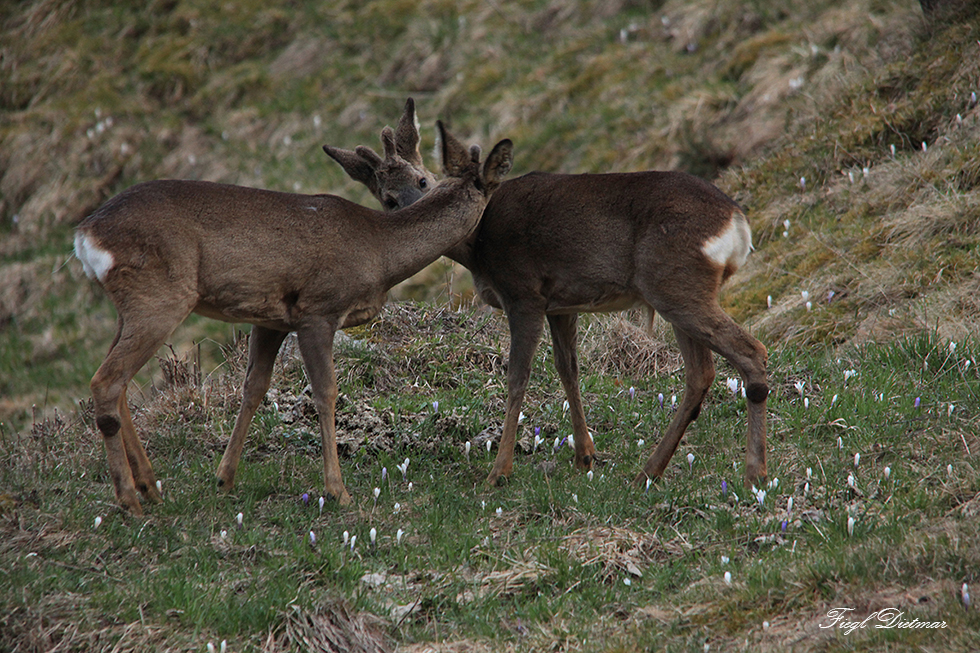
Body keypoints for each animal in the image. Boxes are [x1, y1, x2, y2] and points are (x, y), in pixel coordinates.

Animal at [76, 119, 512, 512]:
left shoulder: (270, 319)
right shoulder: (317, 310)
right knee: (106, 381)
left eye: (424, 180)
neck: (378, 251)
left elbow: (254, 387)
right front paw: (337, 490)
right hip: (160, 296)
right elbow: (326, 392)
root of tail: (85, 235)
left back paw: (150, 487)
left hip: (132, 305)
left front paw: (225, 478)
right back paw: (129, 499)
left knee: (119, 383)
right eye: (391, 195)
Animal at [334, 104, 768, 488]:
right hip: (677, 294)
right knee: (700, 374)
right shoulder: (562, 302)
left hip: (675, 285)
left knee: (750, 351)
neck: (479, 243)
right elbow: (568, 369)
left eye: (423, 181)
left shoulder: (523, 293)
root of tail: (737, 222)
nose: (415, 214)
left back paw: (754, 474)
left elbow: (517, 376)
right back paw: (649, 472)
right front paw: (584, 455)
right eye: (387, 197)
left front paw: (499, 472)